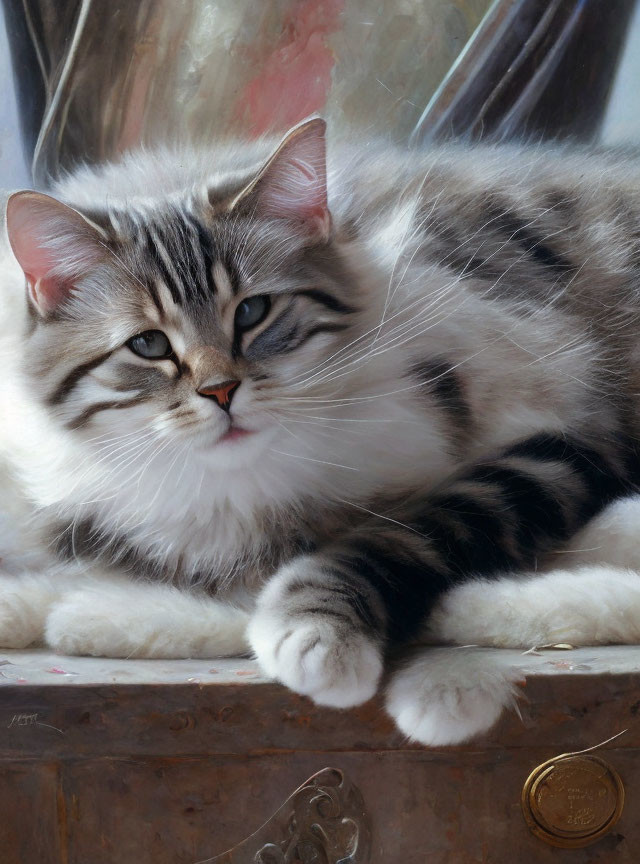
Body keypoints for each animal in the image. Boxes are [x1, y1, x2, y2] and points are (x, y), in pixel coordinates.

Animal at [1, 118, 640, 744]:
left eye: (252, 312)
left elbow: (402, 534)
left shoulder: (564, 439)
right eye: (149, 344)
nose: (221, 392)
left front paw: (318, 637)